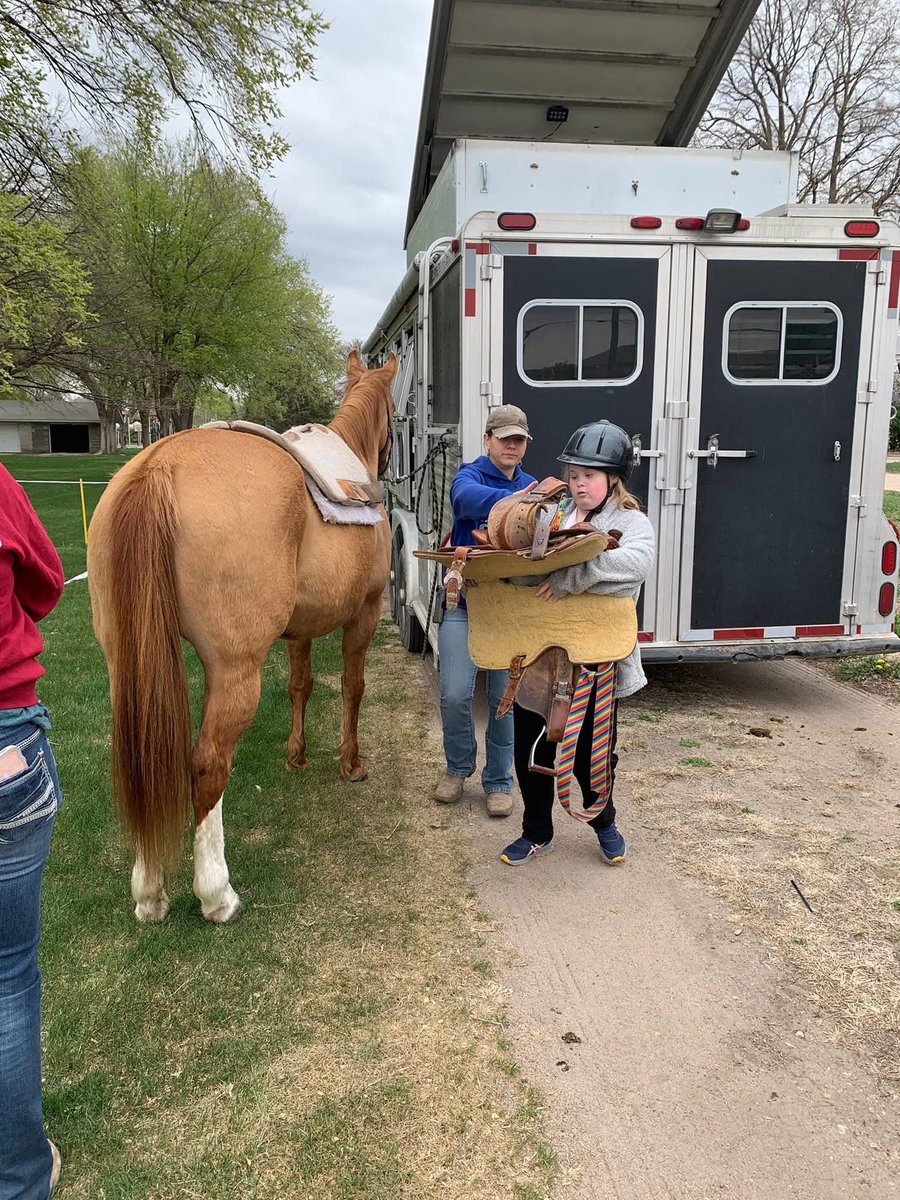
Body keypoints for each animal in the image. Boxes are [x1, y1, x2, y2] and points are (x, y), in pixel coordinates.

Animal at [87, 350, 397, 924]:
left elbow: (301, 686)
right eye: (394, 410)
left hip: (126, 664)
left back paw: (149, 894)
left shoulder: (300, 630)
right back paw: (217, 896)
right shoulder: (363, 616)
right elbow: (352, 687)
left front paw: (297, 757)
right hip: (235, 670)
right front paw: (350, 764)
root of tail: (158, 465)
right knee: (208, 763)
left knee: (137, 760)